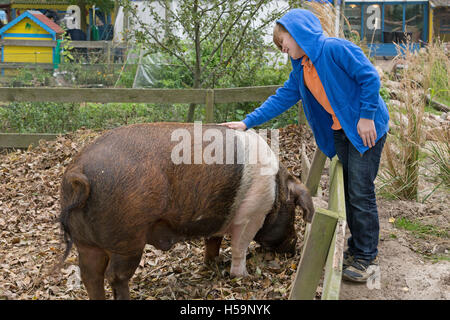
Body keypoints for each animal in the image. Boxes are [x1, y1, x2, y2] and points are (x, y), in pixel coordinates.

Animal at [59, 122, 312, 300]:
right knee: (115, 275)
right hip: (127, 239)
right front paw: (242, 276)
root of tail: (78, 172)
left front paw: (213, 264)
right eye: (293, 213)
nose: (294, 248)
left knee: (90, 275)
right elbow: (240, 246)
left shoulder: (217, 217)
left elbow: (213, 241)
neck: (275, 190)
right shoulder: (251, 215)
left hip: (87, 242)